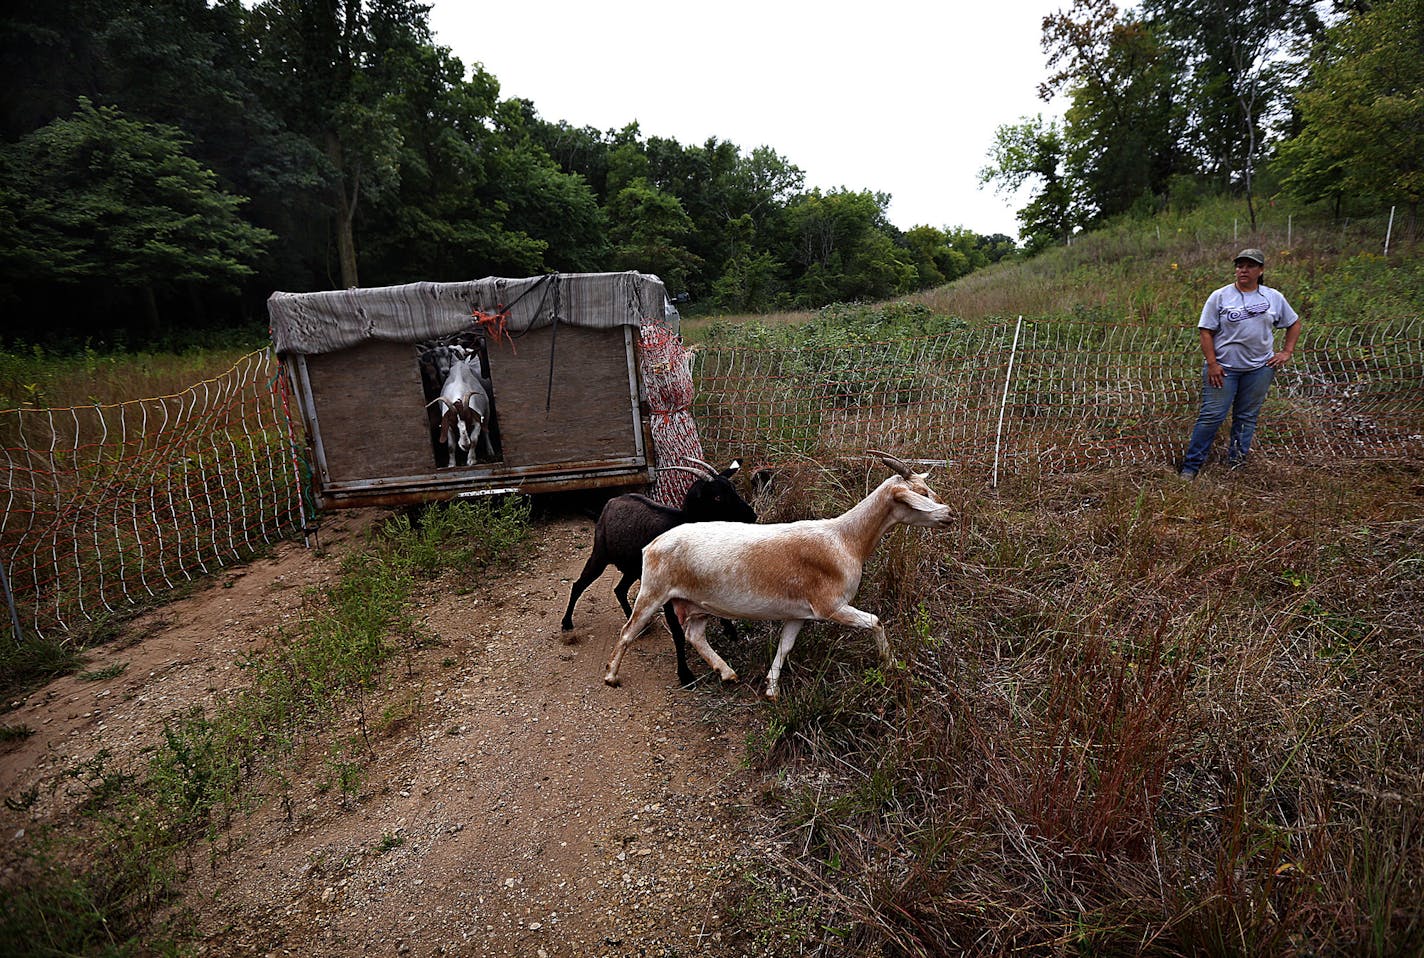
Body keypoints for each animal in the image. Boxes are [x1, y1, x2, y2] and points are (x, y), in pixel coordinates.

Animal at [558, 458, 757, 683]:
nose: (752, 515)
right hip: (600, 556)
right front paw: (685, 675)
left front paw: (730, 631)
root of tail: (610, 503)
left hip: (635, 569)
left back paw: (639, 625)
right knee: (579, 585)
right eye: (717, 497)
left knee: (619, 589)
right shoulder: (669, 595)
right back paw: (567, 623)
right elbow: (678, 633)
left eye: (733, 488)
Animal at [603, 449, 956, 694]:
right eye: (920, 495)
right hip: (653, 592)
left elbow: (785, 647)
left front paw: (771, 689)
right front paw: (891, 663)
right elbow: (875, 622)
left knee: (694, 635)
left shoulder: (798, 613)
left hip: (699, 603)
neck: (845, 539)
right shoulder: (830, 606)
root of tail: (652, 545)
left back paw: (727, 672)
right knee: (629, 631)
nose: (950, 514)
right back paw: (611, 675)